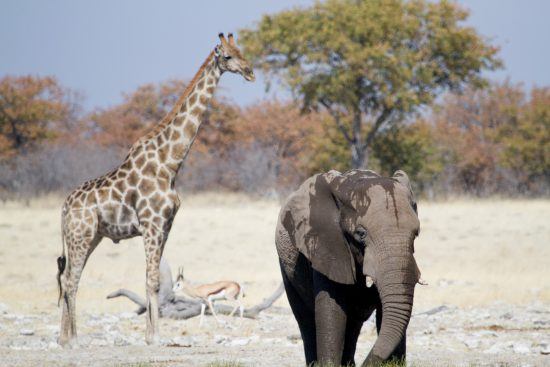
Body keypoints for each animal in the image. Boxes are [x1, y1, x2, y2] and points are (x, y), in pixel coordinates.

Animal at [56, 33, 254, 346]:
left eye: (241, 51)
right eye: (228, 56)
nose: (250, 71)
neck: (170, 163)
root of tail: (64, 207)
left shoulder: (165, 225)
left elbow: (154, 280)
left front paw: (151, 335)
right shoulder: (151, 224)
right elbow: (151, 280)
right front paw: (155, 337)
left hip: (92, 236)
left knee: (69, 278)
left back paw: (65, 338)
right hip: (80, 234)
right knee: (70, 279)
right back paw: (71, 339)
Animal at [276, 170, 422, 367]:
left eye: (416, 233)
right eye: (361, 234)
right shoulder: (326, 245)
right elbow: (332, 309)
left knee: (353, 323)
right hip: (287, 268)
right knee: (305, 318)